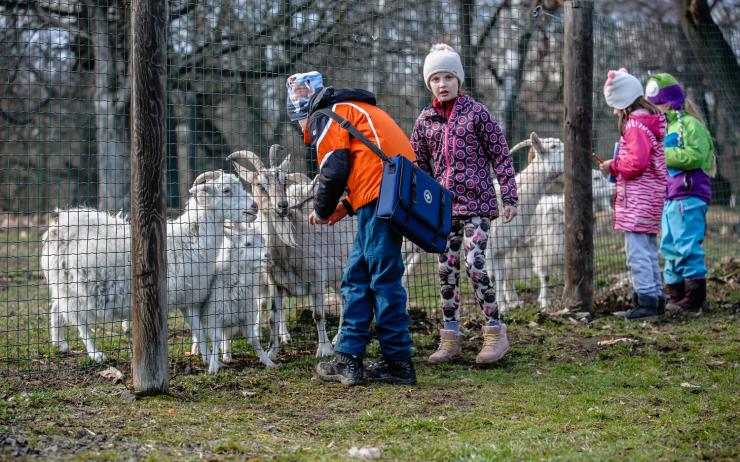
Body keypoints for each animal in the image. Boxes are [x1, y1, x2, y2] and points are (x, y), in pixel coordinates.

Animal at [42, 171, 260, 362]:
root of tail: (57, 223)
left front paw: (204, 356)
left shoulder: (189, 298)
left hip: (62, 285)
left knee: (55, 307)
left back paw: (60, 344)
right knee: (78, 320)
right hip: (71, 285)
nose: (255, 206)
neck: (188, 240)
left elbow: (198, 329)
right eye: (226, 190)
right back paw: (95, 354)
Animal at [199, 222, 274, 374]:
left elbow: (254, 340)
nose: (268, 256)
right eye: (247, 243)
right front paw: (213, 366)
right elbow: (215, 339)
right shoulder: (214, 316)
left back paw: (227, 355)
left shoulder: (246, 316)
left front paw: (268, 362)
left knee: (226, 336)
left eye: (263, 241)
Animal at [228, 146, 356, 360]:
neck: (288, 252)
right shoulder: (275, 283)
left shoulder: (317, 278)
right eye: (259, 184)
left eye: (284, 181)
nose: (283, 206)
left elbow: (318, 314)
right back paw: (339, 339)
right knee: (344, 301)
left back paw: (337, 341)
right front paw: (272, 352)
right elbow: (273, 317)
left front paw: (324, 350)